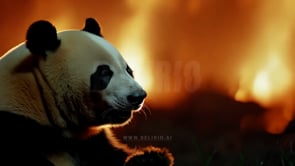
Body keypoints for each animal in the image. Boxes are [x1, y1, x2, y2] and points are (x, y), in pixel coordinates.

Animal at [0, 17, 173, 165]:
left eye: (128, 71)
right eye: (104, 72)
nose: (138, 97)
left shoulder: (91, 142)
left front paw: (151, 158)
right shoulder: (16, 126)